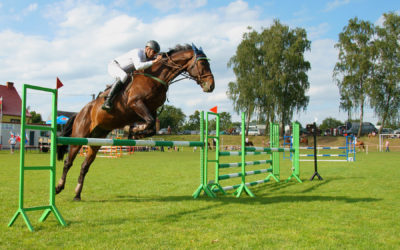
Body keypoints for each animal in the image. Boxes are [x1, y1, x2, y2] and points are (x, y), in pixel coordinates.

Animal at [56, 43, 216, 201]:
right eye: (203, 63)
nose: (211, 86)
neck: (157, 77)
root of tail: (80, 112)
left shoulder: (150, 109)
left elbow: (152, 127)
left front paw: (133, 132)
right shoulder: (136, 103)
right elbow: (150, 123)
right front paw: (133, 131)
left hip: (96, 140)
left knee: (84, 166)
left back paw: (77, 194)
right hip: (79, 136)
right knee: (68, 162)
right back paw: (58, 187)